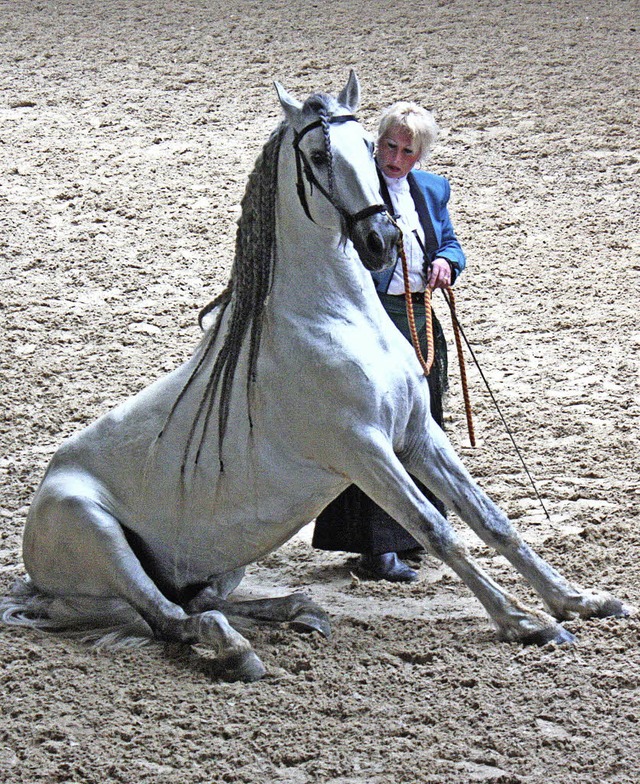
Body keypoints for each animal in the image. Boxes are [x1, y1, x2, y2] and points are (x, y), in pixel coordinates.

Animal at [1, 76, 632, 684]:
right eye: (319, 154)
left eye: (372, 148)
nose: (381, 241)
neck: (335, 319)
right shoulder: (362, 450)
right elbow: (436, 528)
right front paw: (523, 622)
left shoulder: (417, 436)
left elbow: (491, 519)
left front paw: (581, 602)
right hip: (100, 537)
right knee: (170, 618)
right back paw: (238, 652)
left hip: (222, 561)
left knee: (192, 605)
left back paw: (298, 611)